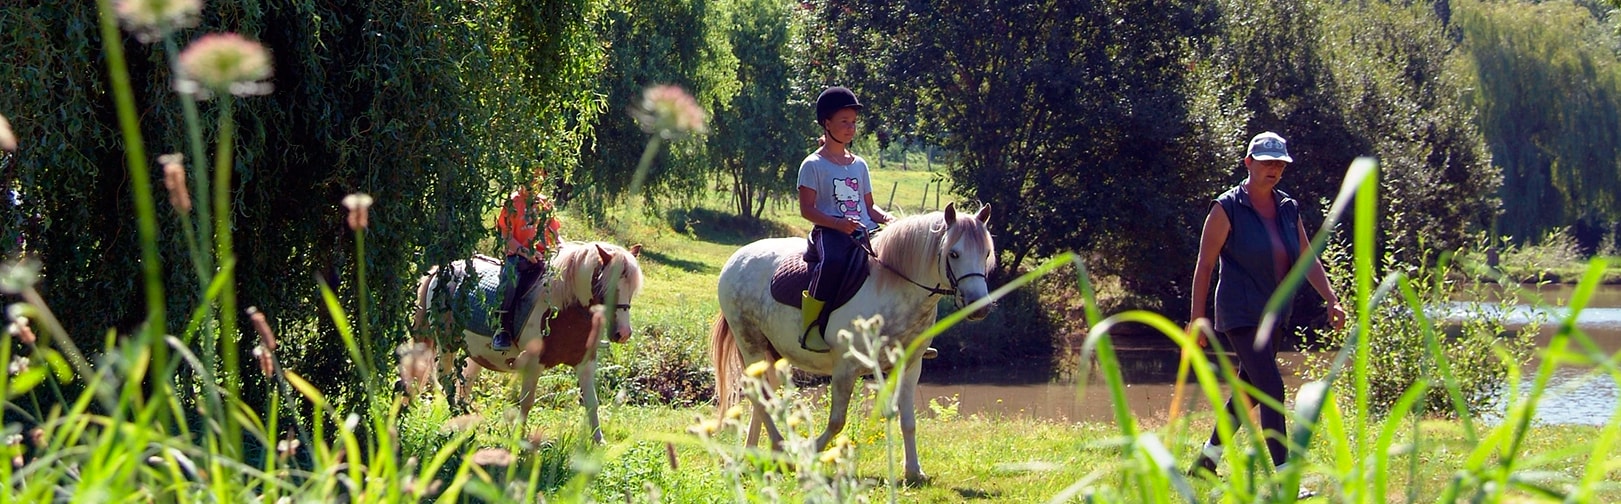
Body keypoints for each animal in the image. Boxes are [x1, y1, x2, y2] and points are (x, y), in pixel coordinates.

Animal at [405, 241, 645, 440]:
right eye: (608, 285)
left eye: (632, 289)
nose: (623, 333)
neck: (564, 308)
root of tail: (439, 272)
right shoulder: (534, 364)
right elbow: (526, 402)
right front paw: (518, 440)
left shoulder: (586, 362)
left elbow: (592, 402)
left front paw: (598, 442)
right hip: (446, 342)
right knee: (446, 379)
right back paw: (455, 413)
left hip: (476, 353)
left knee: (465, 380)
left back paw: (465, 416)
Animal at [713, 202, 992, 482]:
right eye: (954, 254)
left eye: (987, 252)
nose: (980, 307)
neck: (894, 287)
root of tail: (736, 259)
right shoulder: (845, 368)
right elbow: (837, 421)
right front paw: (808, 454)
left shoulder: (911, 366)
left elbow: (908, 421)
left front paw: (914, 471)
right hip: (751, 345)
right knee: (758, 395)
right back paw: (780, 449)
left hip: (774, 354)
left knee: (763, 396)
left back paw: (758, 453)